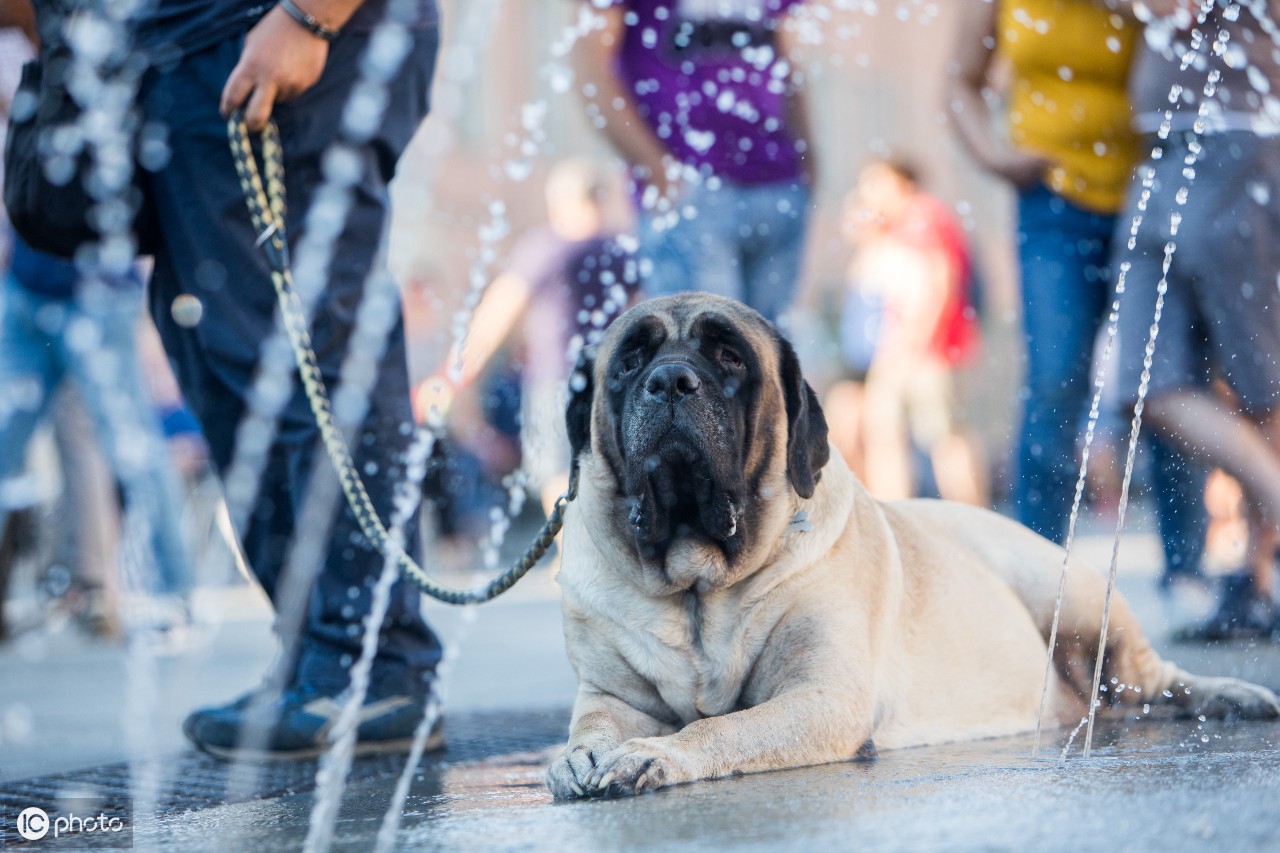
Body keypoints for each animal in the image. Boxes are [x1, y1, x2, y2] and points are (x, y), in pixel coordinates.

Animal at [542, 292, 1280, 799]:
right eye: (628, 361)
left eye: (729, 357)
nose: (670, 379)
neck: (698, 581)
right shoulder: (612, 697)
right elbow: (593, 725)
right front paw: (581, 755)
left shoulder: (822, 696)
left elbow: (722, 726)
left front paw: (659, 754)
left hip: (1069, 591)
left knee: (1152, 676)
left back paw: (1233, 696)